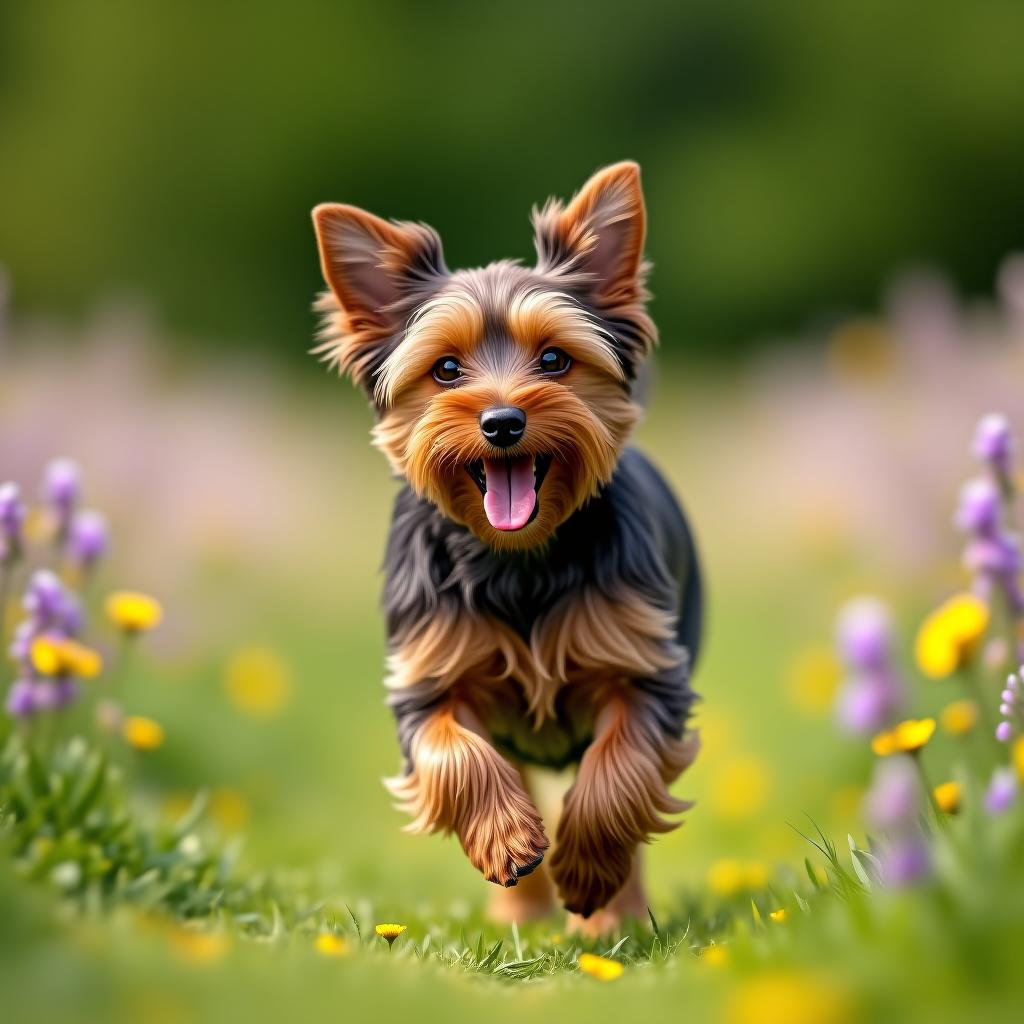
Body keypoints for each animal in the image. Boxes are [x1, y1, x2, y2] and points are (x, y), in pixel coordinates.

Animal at [307, 161, 700, 929]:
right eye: (445, 370)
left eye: (553, 359)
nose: (502, 421)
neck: (516, 557)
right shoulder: (428, 675)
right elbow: (455, 754)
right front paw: (509, 842)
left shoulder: (646, 667)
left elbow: (623, 766)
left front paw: (589, 872)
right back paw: (519, 908)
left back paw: (618, 913)